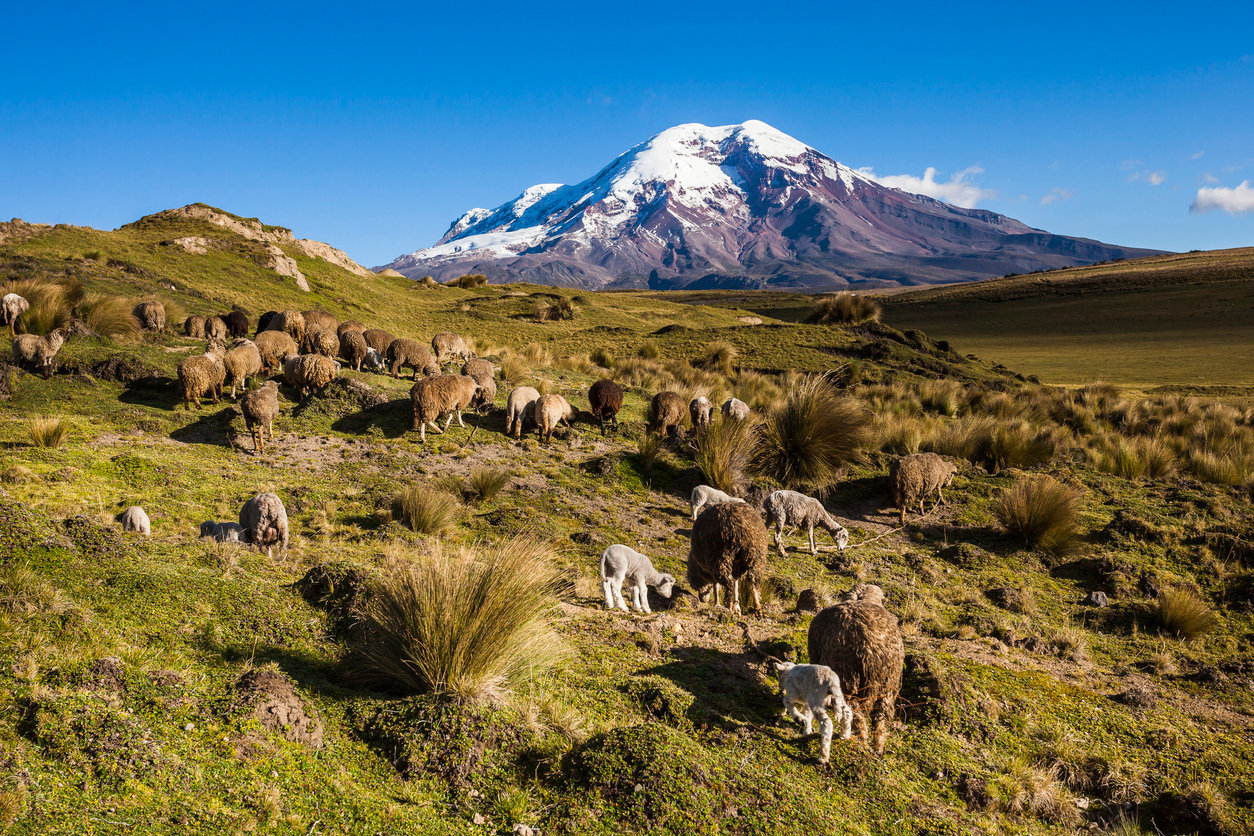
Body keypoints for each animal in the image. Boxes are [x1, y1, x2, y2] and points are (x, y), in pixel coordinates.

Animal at [807, 583, 904, 754]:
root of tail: (869, 652)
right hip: (888, 685)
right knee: (881, 717)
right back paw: (878, 747)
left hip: (848, 679)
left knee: (855, 712)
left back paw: (861, 739)